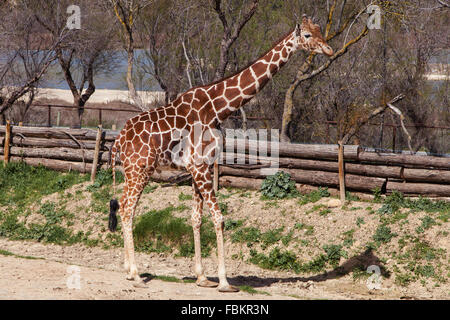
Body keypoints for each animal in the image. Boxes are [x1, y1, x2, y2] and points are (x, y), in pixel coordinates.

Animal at [109, 15, 334, 292]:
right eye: (307, 36)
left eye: (319, 30)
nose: (329, 49)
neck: (217, 108)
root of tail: (119, 140)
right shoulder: (198, 166)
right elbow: (219, 217)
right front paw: (225, 282)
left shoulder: (200, 166)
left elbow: (196, 218)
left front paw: (202, 277)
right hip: (140, 168)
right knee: (128, 208)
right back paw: (137, 274)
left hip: (131, 171)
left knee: (123, 205)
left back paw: (129, 271)